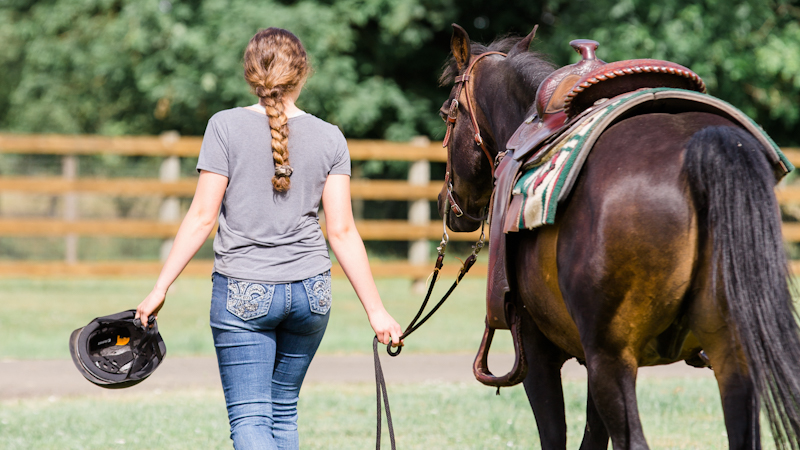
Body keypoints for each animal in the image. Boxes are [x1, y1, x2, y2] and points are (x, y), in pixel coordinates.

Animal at [437, 24, 800, 450]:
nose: (448, 203)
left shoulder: (540, 353)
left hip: (612, 358)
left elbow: (556, 434)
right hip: (732, 352)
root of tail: (704, 146)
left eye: (447, 113)